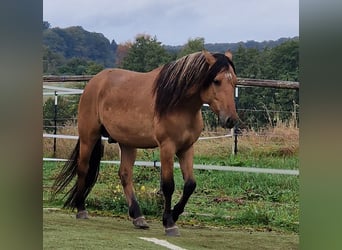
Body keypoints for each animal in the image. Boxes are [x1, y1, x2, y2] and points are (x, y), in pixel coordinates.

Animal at [52, 50, 238, 236]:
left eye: (235, 81)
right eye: (216, 81)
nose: (231, 119)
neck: (179, 104)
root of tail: (94, 82)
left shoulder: (186, 148)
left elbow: (190, 185)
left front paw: (174, 215)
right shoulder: (167, 147)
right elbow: (168, 185)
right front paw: (169, 223)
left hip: (127, 143)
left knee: (125, 175)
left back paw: (138, 217)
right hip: (88, 137)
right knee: (83, 168)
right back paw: (81, 209)